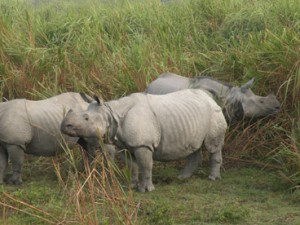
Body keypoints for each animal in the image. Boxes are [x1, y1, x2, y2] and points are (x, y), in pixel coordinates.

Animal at [61, 89, 227, 192]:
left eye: (86, 118)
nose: (64, 126)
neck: (111, 113)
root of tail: (210, 98)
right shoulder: (124, 144)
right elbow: (132, 165)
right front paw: (131, 186)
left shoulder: (142, 144)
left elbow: (145, 165)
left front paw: (145, 190)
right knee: (194, 147)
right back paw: (182, 177)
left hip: (213, 113)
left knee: (213, 146)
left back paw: (212, 178)